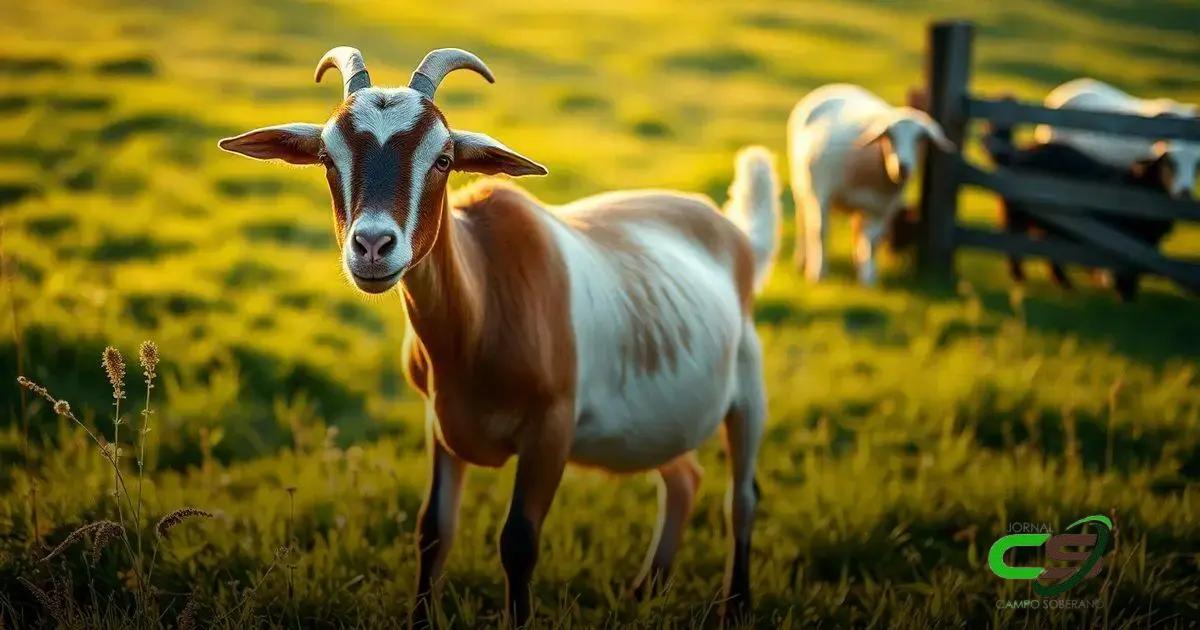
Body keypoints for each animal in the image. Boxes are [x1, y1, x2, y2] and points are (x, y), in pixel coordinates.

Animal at [218, 46, 781, 627]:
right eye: (329, 158)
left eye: (443, 159)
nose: (373, 246)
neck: (484, 308)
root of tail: (737, 236)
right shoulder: (440, 423)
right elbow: (432, 532)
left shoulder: (550, 430)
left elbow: (519, 543)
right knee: (684, 477)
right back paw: (645, 590)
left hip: (749, 391)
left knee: (742, 498)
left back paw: (736, 605)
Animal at [787, 84, 953, 285]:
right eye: (889, 136)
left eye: (920, 138)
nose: (903, 167)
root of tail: (835, 86)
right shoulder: (821, 193)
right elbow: (820, 232)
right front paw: (818, 273)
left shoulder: (884, 208)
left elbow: (874, 239)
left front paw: (868, 277)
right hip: (802, 186)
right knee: (803, 221)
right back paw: (801, 259)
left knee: (859, 230)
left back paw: (858, 260)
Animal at [984, 123, 1175, 301]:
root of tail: (1018, 152)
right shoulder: (1123, 237)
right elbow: (1125, 266)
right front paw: (1121, 291)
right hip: (1021, 218)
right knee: (1014, 246)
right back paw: (1024, 278)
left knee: (1046, 252)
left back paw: (1061, 282)